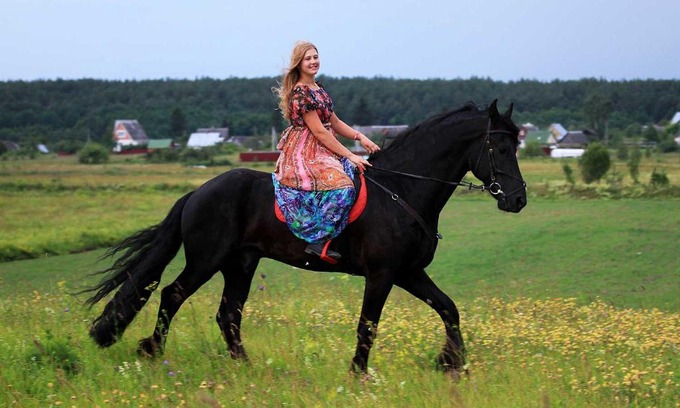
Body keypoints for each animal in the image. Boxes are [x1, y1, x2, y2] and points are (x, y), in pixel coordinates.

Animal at [83, 99, 527, 375]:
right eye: (502, 148)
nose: (518, 199)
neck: (403, 190)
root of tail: (197, 192)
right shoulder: (382, 274)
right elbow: (368, 325)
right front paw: (358, 375)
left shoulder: (408, 273)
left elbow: (449, 309)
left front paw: (452, 363)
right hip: (207, 260)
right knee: (172, 294)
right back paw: (152, 351)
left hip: (240, 264)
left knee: (228, 314)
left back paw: (245, 366)